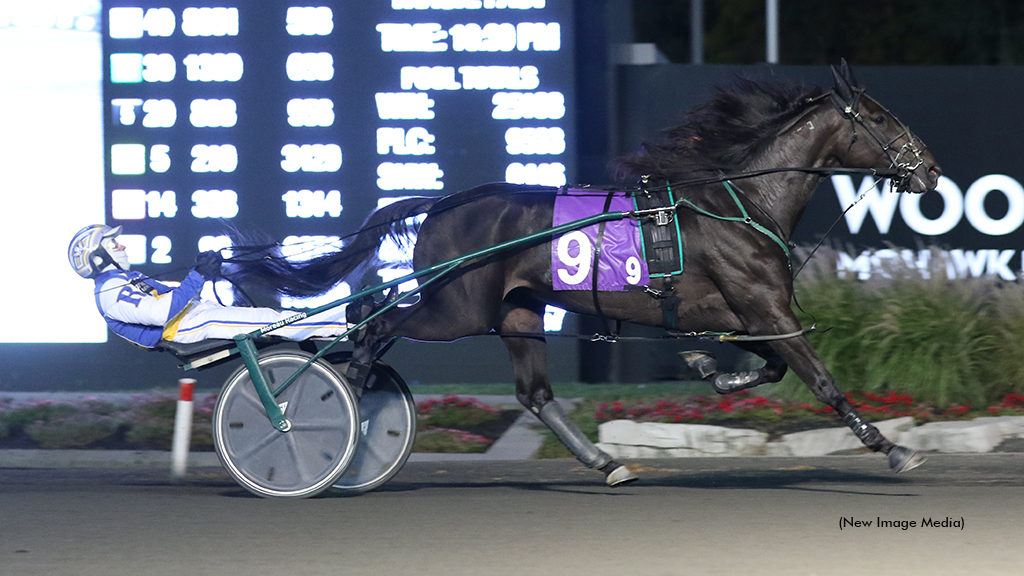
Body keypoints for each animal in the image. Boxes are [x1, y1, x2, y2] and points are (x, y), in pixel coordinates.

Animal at [226, 62, 942, 483]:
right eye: (878, 117)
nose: (930, 169)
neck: (740, 201)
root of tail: (444, 203)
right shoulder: (764, 306)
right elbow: (819, 379)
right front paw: (892, 447)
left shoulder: (748, 313)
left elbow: (768, 368)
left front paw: (711, 368)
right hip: (456, 307)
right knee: (371, 324)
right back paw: (332, 410)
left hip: (516, 310)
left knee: (534, 392)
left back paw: (605, 462)